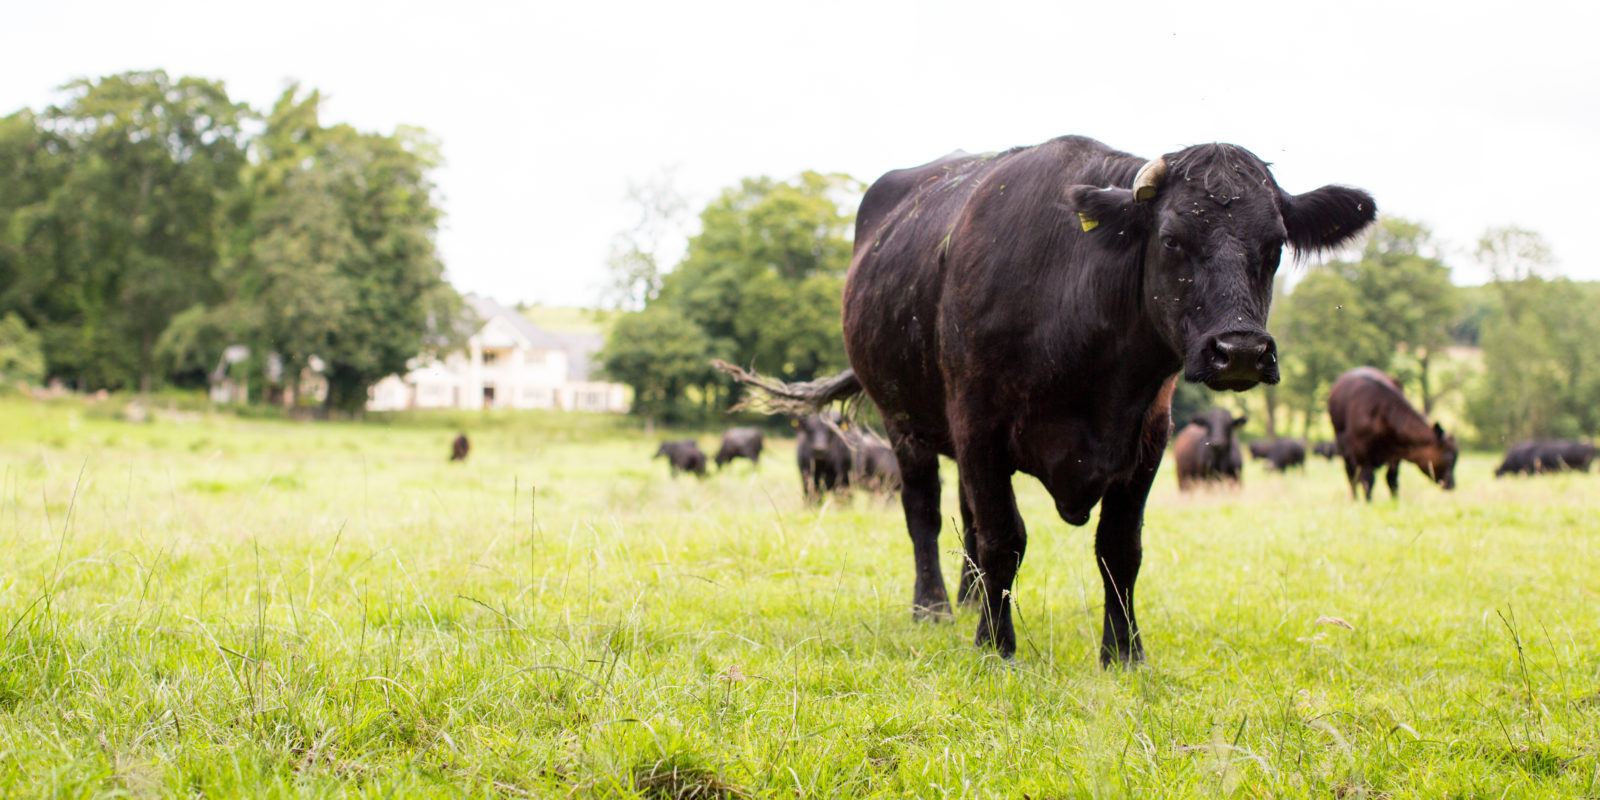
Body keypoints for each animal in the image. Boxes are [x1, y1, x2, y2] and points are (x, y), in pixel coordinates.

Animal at [720, 136, 1369, 662]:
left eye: (1276, 245)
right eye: (1171, 239)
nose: (1239, 351)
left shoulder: (1147, 438)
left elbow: (1118, 549)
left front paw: (1124, 654)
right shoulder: (979, 425)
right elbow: (1005, 538)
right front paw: (994, 645)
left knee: (967, 518)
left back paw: (970, 597)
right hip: (905, 422)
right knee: (925, 512)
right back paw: (935, 607)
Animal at [1331, 366, 1459, 499]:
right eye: (1450, 458)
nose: (1452, 484)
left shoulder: (1396, 455)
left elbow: (1392, 480)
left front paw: (1395, 501)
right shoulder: (1362, 453)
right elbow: (1367, 481)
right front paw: (1368, 502)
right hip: (1343, 448)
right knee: (1351, 475)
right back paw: (1354, 498)